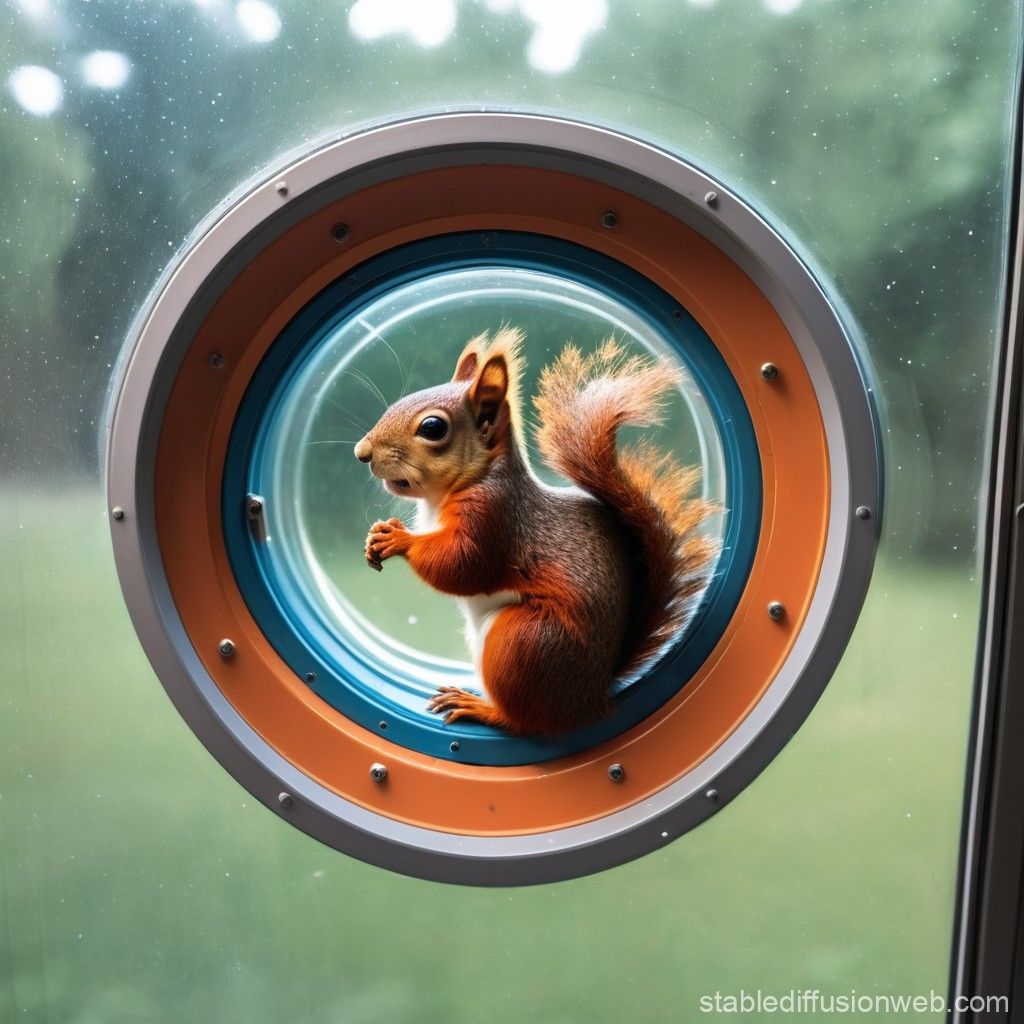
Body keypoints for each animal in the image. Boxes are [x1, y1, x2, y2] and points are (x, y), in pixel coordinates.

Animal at [354, 327, 717, 737]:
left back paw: (481, 708)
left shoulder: (495, 517)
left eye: (433, 428)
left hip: (522, 642)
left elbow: (462, 565)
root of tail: (588, 700)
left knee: (524, 720)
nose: (362, 452)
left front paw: (398, 539)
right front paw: (377, 534)